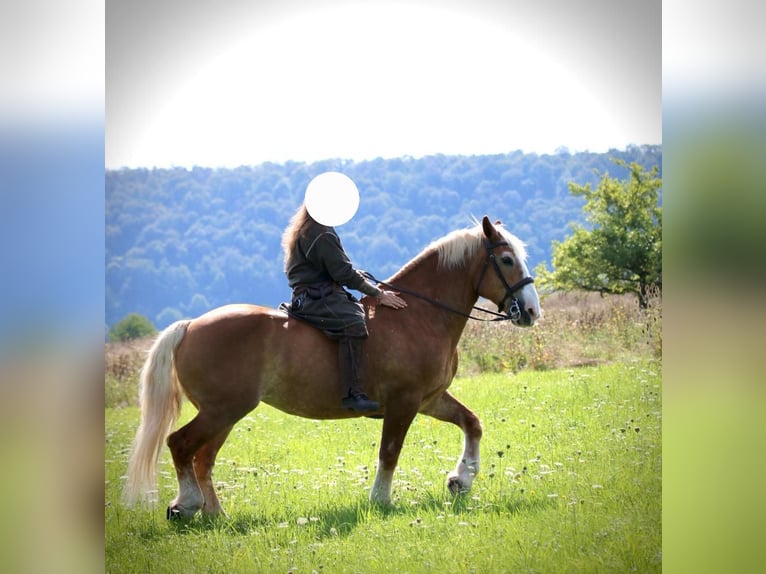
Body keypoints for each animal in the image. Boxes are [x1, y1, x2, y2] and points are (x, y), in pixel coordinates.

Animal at [123, 216, 541, 519]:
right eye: (506, 260)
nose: (532, 311)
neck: (419, 315)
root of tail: (191, 325)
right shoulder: (404, 403)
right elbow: (390, 452)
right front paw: (380, 501)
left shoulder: (429, 400)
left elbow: (472, 423)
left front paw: (461, 480)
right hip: (222, 411)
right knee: (181, 445)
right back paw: (187, 506)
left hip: (224, 414)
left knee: (202, 458)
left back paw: (215, 516)